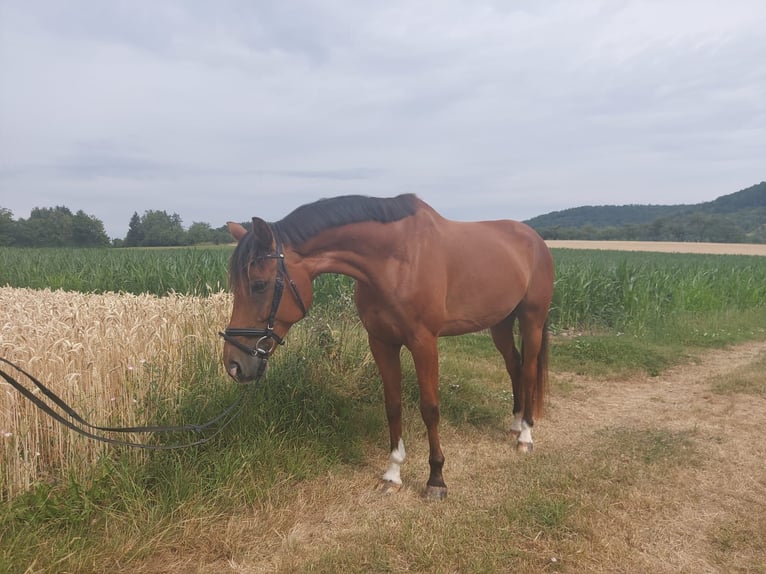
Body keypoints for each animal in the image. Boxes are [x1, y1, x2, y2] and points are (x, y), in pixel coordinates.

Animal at [221, 194, 554, 499]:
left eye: (259, 285)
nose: (234, 364)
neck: (396, 260)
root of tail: (535, 239)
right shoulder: (382, 343)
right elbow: (393, 405)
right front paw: (393, 474)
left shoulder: (424, 342)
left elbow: (429, 408)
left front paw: (436, 479)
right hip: (500, 323)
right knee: (514, 365)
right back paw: (515, 424)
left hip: (532, 320)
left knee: (529, 370)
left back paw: (525, 436)